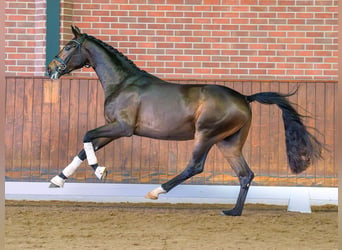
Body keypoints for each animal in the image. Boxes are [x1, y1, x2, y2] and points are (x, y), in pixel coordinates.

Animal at [46, 26, 322, 216]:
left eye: (69, 46)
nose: (50, 69)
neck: (123, 83)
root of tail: (245, 97)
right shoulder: (113, 129)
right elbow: (85, 147)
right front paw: (57, 181)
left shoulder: (122, 128)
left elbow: (86, 137)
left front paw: (100, 171)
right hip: (228, 143)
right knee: (245, 174)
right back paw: (233, 212)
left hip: (207, 135)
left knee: (195, 166)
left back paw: (156, 191)